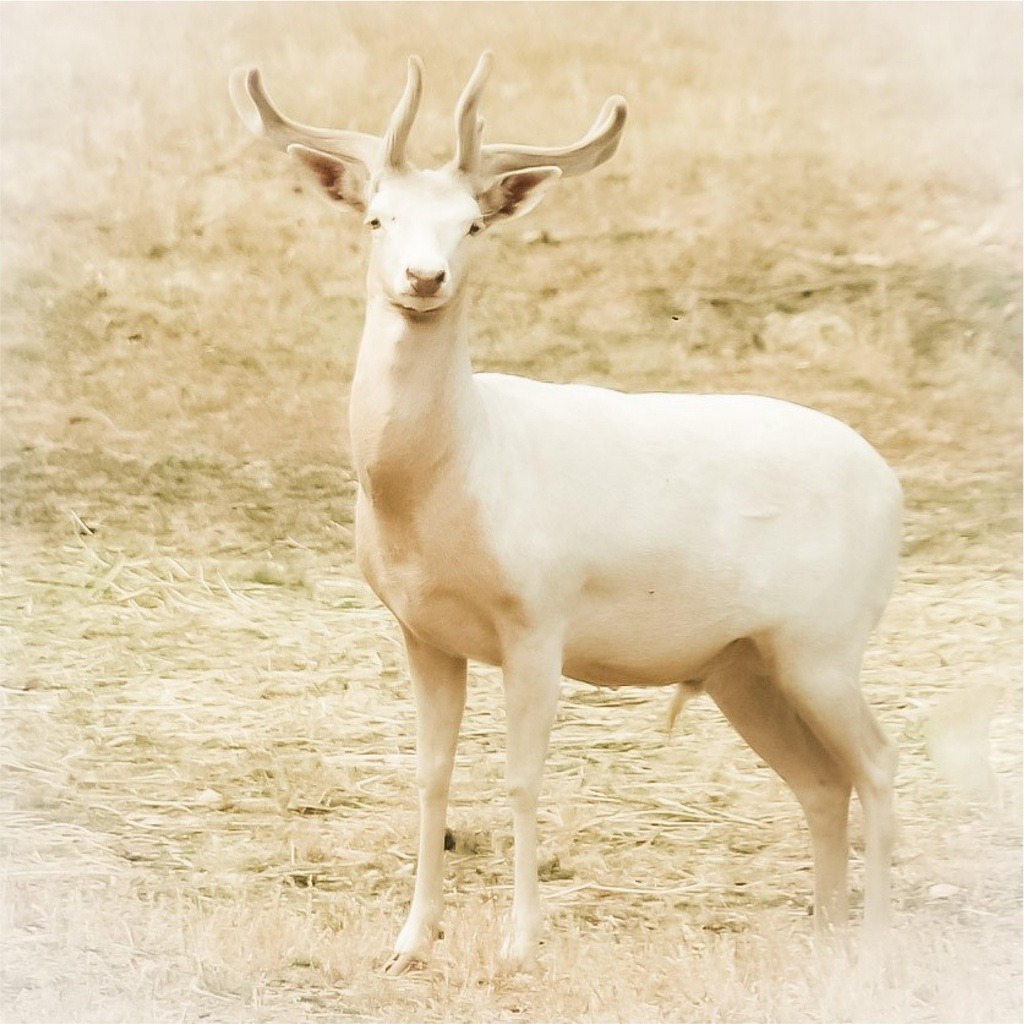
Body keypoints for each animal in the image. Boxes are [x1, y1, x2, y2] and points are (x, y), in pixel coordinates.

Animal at [229, 52, 902, 974]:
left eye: (474, 224)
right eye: (376, 217)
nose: (424, 278)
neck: (445, 492)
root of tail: (893, 485)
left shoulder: (538, 618)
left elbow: (522, 777)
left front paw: (519, 944)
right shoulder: (422, 630)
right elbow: (431, 772)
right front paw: (409, 941)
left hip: (825, 643)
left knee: (878, 761)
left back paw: (878, 936)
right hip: (745, 665)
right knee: (822, 778)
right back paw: (827, 934)